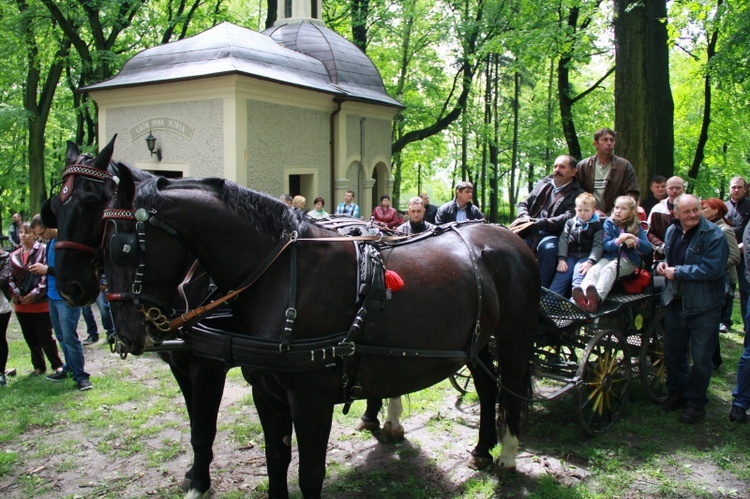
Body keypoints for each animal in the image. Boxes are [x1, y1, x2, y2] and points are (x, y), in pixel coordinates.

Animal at [100, 166, 544, 498]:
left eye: (124, 246)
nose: (125, 334)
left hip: (516, 339)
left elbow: (308, 472)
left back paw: (507, 455)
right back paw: (481, 449)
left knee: (510, 391)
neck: (279, 272)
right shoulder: (266, 392)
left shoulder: (310, 397)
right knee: (487, 387)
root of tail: (509, 236)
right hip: (478, 342)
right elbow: (276, 461)